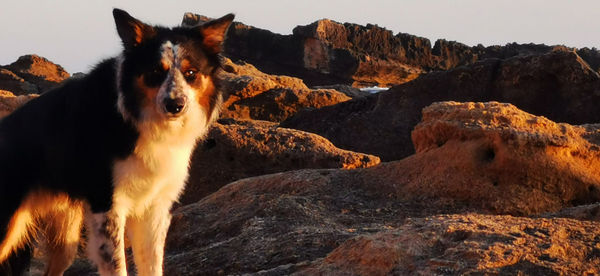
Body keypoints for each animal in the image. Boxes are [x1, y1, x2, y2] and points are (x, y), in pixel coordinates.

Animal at [0, 8, 233, 276]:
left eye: (191, 73)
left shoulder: (154, 209)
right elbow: (118, 266)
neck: (137, 119)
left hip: (64, 235)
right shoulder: (108, 206)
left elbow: (152, 265)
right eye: (155, 72)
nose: (175, 105)